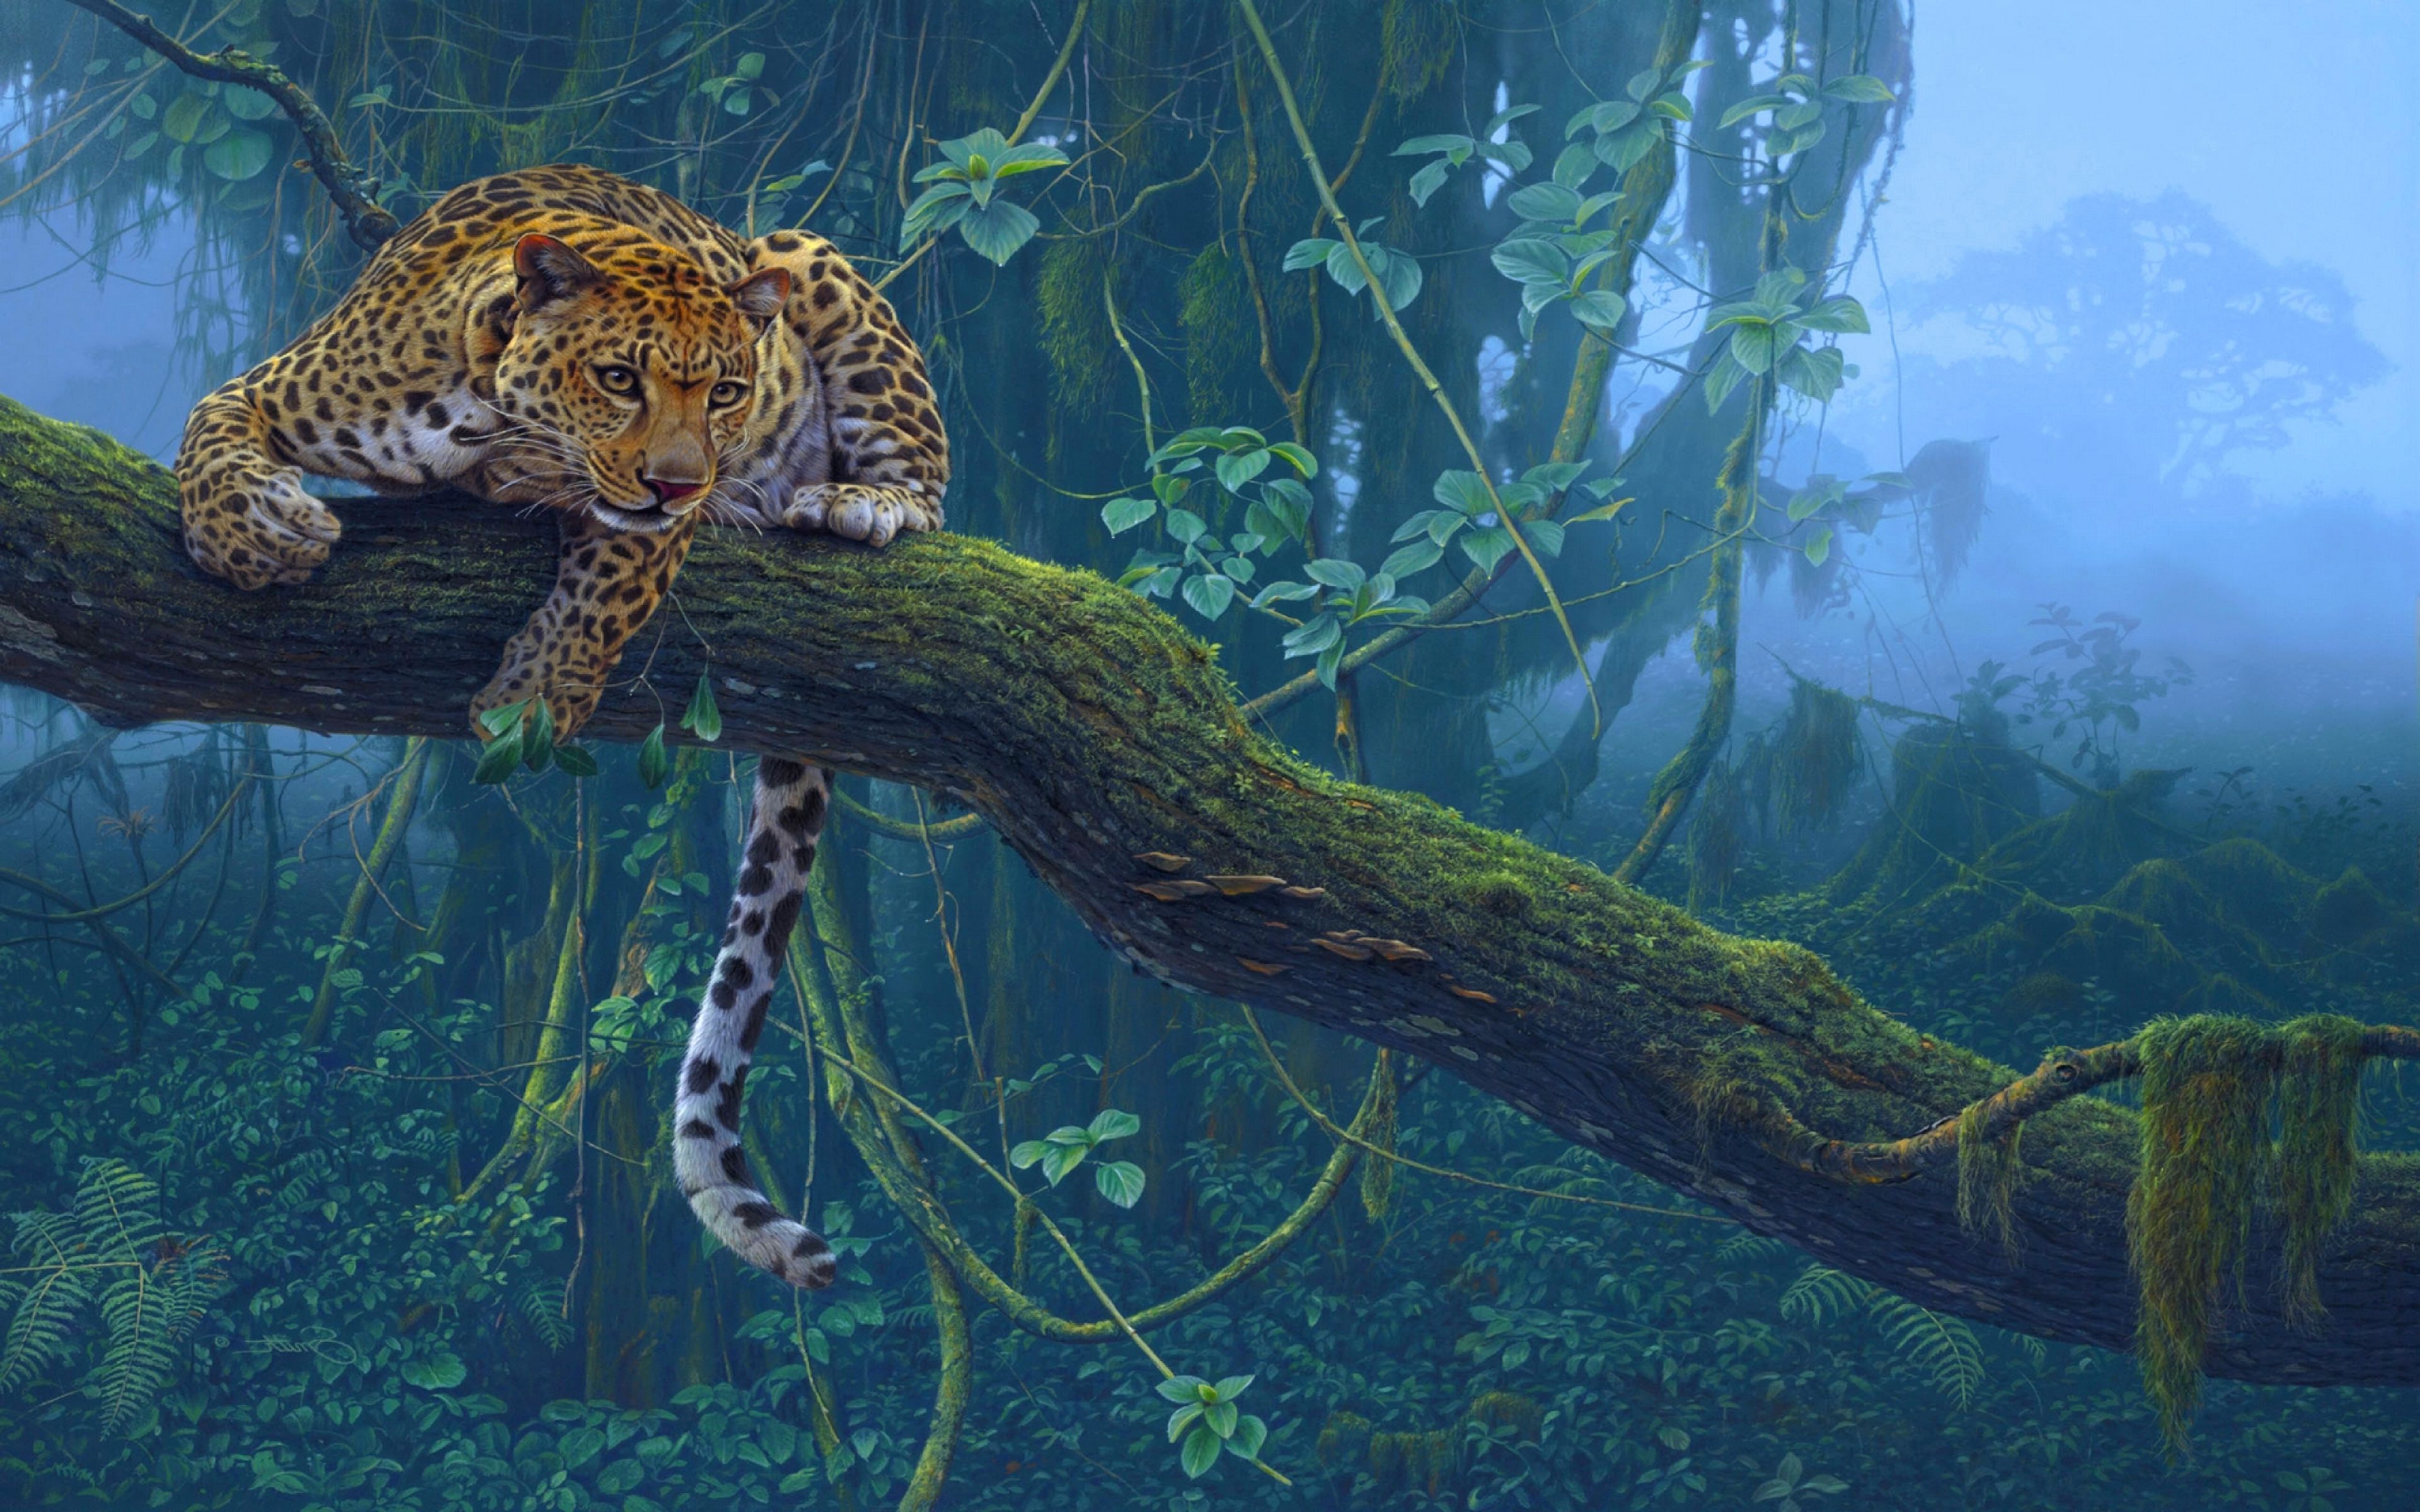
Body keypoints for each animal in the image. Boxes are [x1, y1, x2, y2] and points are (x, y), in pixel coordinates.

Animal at [176, 163, 952, 1290]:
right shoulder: (277, 385)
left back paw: (857, 502)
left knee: (927, 490)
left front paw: (533, 696)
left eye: (728, 392)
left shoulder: (650, 525)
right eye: (621, 378)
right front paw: (255, 534)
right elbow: (208, 426)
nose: (683, 480)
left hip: (804, 254)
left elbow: (612, 579)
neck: (482, 413)